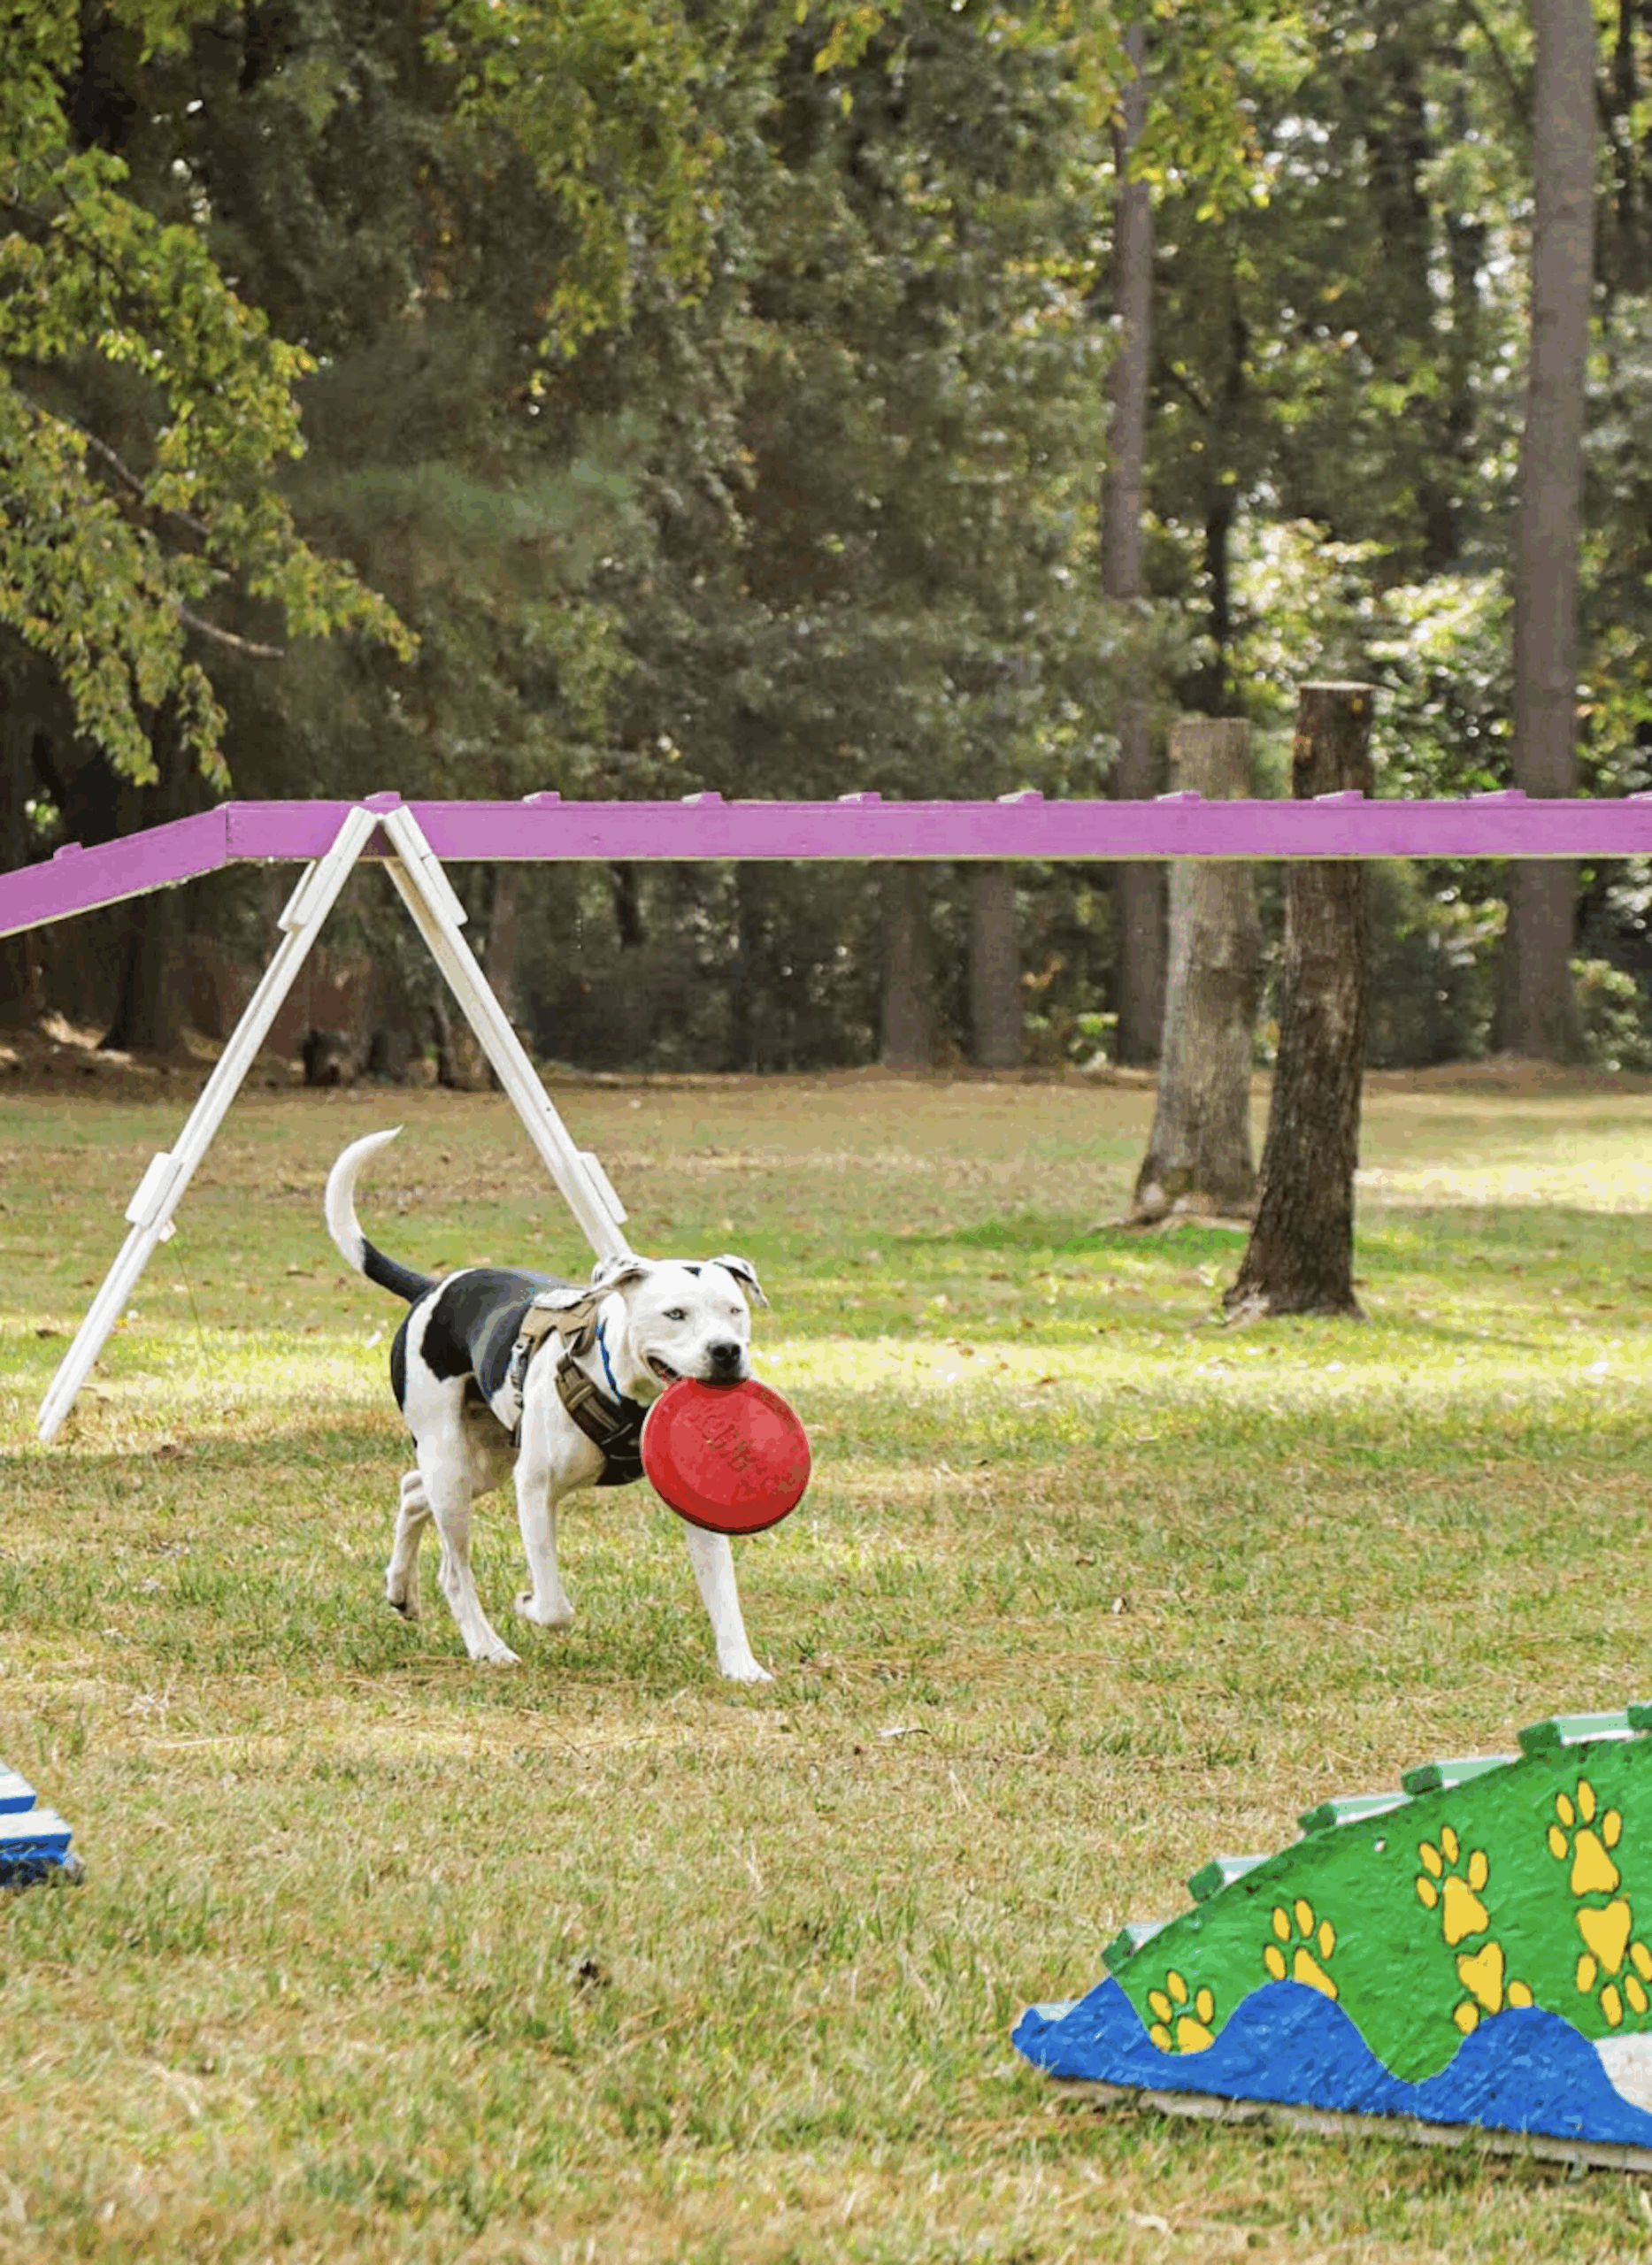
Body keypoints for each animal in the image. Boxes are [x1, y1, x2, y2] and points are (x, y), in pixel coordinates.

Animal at [324, 1126, 772, 1679]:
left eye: (735, 1311)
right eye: (675, 1314)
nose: (727, 1351)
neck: (622, 1391)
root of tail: (432, 1289)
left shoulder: (696, 1507)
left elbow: (724, 1595)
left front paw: (742, 1667)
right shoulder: (535, 1490)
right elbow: (556, 1606)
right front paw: (528, 1604)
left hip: (482, 1464)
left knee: (411, 1490)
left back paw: (400, 1590)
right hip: (451, 1464)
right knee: (454, 1569)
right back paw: (486, 1646)